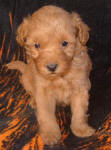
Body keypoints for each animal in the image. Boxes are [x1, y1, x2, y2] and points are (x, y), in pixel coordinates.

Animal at [5, 5, 94, 145]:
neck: (61, 77)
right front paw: (50, 134)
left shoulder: (80, 87)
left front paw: (81, 129)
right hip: (26, 79)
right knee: (31, 92)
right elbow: (46, 115)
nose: (51, 67)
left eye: (65, 43)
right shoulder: (43, 91)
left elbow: (79, 111)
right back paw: (33, 102)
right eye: (37, 45)